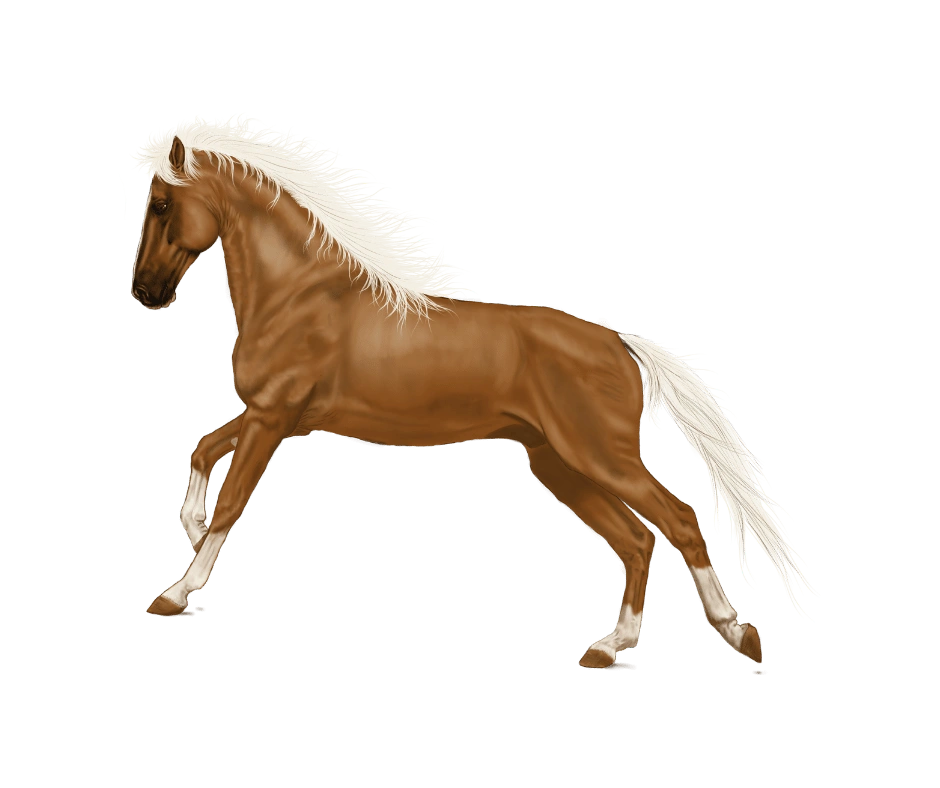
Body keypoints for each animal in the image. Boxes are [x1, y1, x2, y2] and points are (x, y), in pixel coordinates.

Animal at [128, 113, 820, 667]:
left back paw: (736, 633)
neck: (298, 295)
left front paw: (176, 592)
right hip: (557, 463)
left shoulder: (274, 417)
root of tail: (621, 343)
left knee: (676, 522)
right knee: (635, 540)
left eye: (161, 205)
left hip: (600, 456)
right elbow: (203, 450)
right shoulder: (276, 414)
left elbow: (232, 500)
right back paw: (611, 646)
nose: (145, 291)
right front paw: (188, 527)